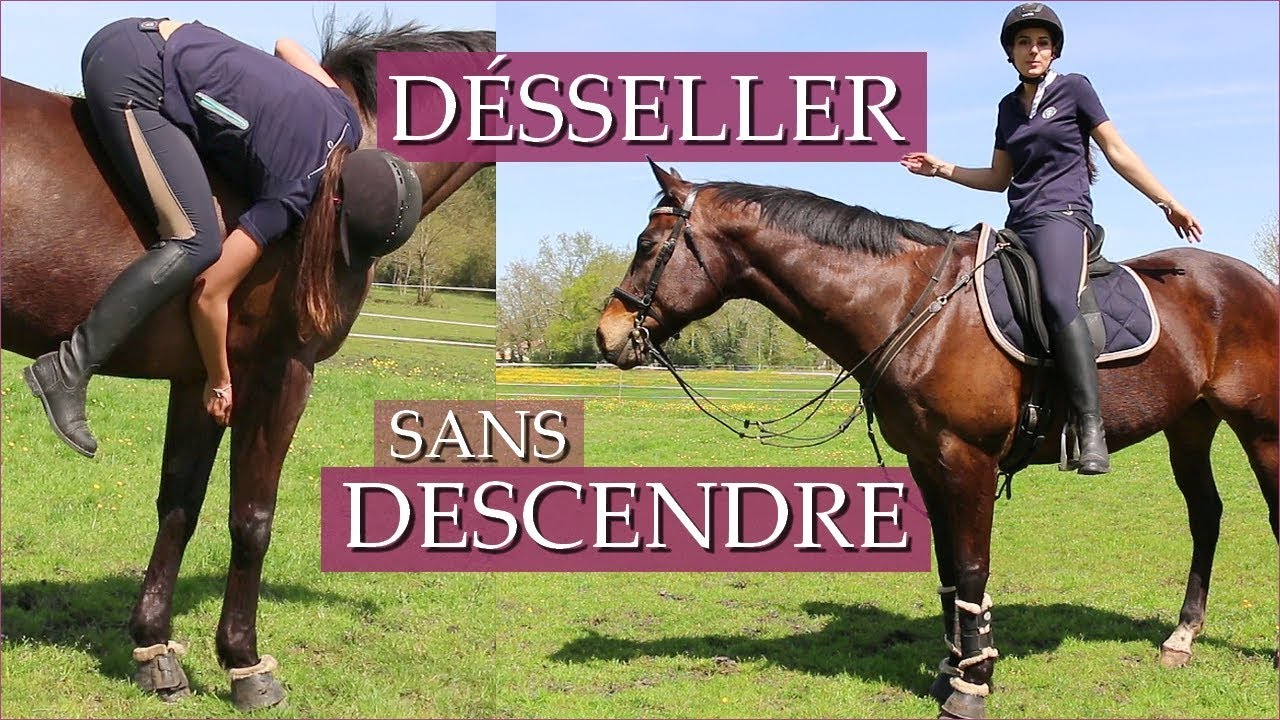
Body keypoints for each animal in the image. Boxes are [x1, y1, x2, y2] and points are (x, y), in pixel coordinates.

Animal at [0, 15, 494, 710]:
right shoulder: (279, 371)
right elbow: (252, 519)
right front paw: (245, 664)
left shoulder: (202, 378)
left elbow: (179, 504)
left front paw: (155, 653)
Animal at [596, 161, 1279, 719]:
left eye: (647, 244)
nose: (607, 334)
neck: (909, 306)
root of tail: (1258, 283)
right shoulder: (927, 462)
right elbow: (949, 566)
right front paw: (955, 667)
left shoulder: (967, 459)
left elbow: (973, 566)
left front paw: (971, 687)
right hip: (1190, 424)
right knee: (1206, 515)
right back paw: (1181, 638)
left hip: (1261, 429)